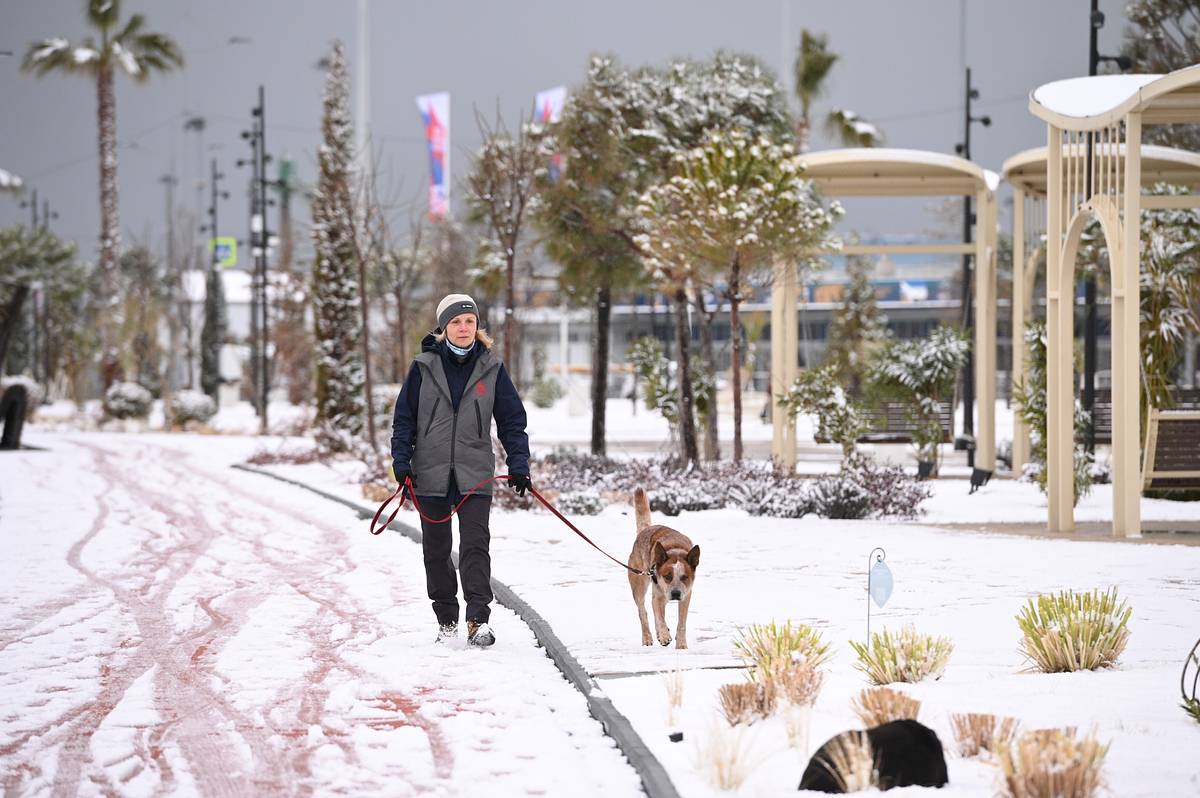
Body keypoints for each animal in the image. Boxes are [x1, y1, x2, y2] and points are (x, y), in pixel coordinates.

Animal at [628, 484, 700, 648]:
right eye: (667, 576)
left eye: (685, 577)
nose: (675, 593)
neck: (675, 550)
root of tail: (644, 531)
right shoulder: (659, 595)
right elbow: (659, 617)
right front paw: (665, 636)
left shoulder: (686, 595)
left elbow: (681, 623)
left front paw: (681, 645)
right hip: (639, 585)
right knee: (643, 612)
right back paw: (648, 638)